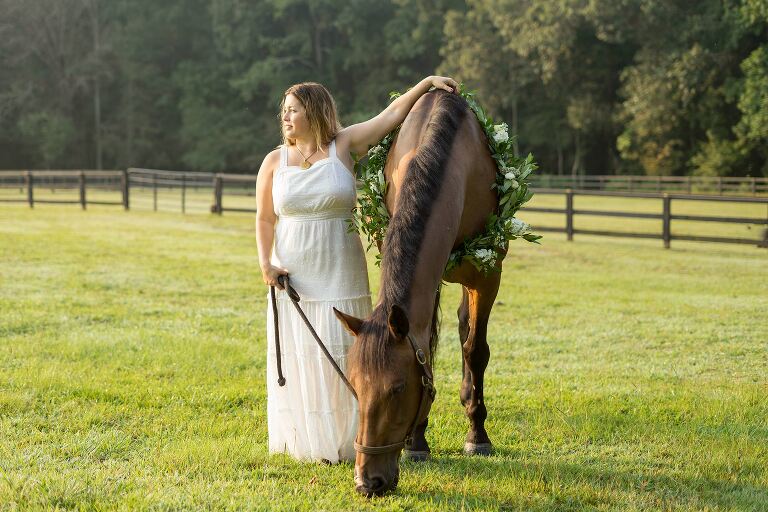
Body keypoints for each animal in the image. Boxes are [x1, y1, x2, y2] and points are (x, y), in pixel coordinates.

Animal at [334, 89, 504, 496]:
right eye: (354, 386)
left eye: (397, 389)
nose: (367, 481)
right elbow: (430, 343)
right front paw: (417, 442)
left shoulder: (487, 273)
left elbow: (476, 351)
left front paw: (478, 436)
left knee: (469, 336)